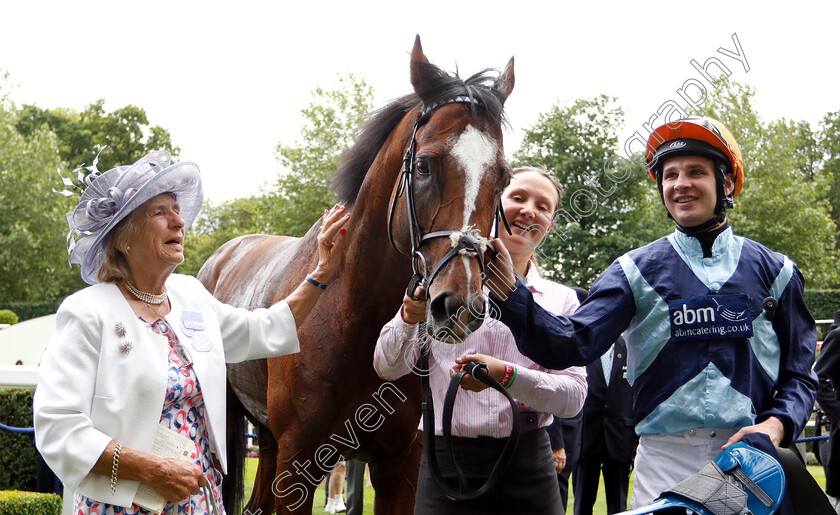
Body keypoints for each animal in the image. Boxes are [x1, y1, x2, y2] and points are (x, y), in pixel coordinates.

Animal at [200, 37, 516, 515]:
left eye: (504, 178)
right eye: (424, 166)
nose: (459, 306)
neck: (352, 318)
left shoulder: (401, 466)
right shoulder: (300, 461)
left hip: (268, 439)